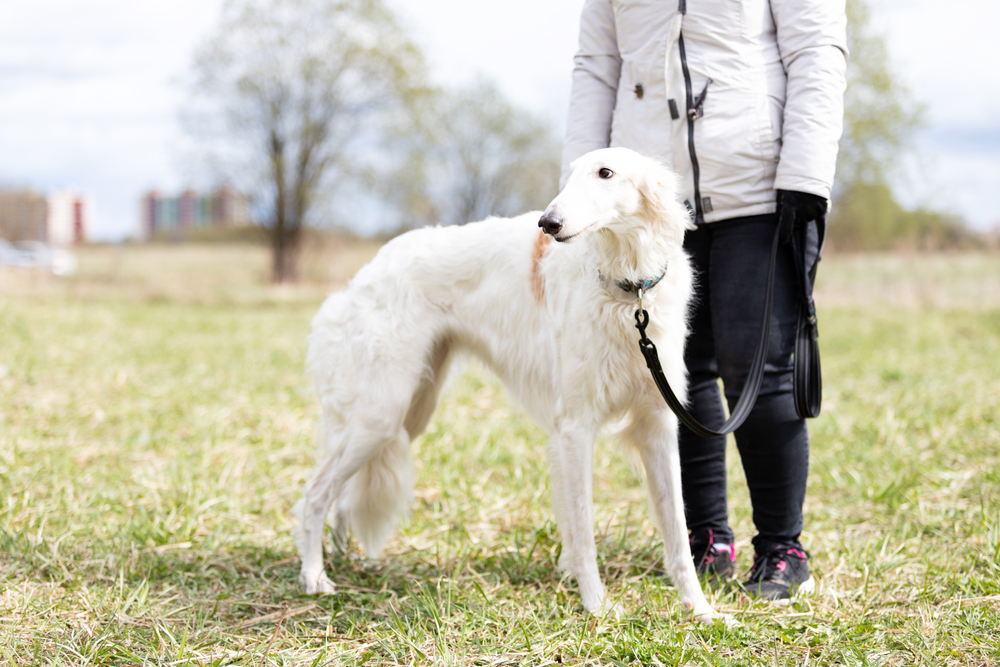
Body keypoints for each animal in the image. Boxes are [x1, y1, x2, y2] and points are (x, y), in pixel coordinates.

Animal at [292, 149, 724, 624]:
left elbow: (678, 536)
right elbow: (584, 531)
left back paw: (344, 558)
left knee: (342, 495)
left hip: (407, 412)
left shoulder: (659, 425)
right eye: (568, 175)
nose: (547, 223)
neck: (628, 296)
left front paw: (703, 611)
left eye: (605, 173)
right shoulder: (575, 428)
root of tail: (365, 273)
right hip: (382, 414)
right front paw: (596, 607)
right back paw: (315, 577)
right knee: (315, 493)